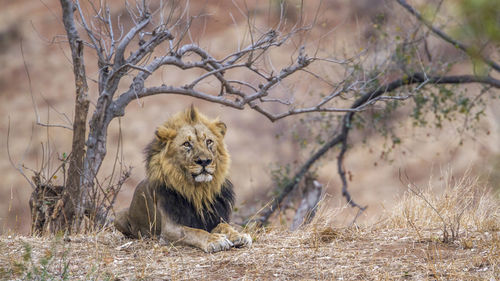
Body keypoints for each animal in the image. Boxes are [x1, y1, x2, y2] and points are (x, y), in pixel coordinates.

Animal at [115, 105, 252, 252]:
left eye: (209, 141)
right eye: (186, 144)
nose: (205, 161)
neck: (199, 192)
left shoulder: (216, 218)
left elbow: (225, 226)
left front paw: (238, 235)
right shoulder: (169, 230)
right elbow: (194, 231)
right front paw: (215, 240)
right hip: (118, 216)